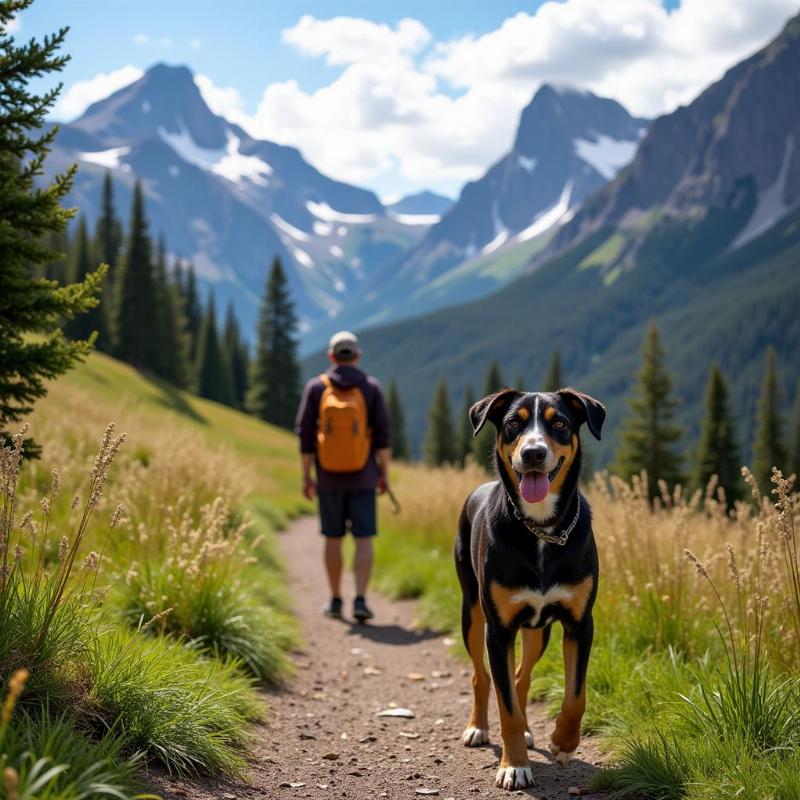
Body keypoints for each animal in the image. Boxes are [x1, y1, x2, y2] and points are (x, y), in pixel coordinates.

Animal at [454, 390, 604, 792]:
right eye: (513, 423)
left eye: (559, 423)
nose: (533, 453)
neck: (541, 531)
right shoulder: (499, 630)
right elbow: (505, 706)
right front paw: (514, 766)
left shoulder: (579, 624)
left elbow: (576, 695)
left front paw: (564, 742)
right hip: (472, 612)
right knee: (481, 676)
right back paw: (478, 728)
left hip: (539, 631)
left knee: (521, 676)